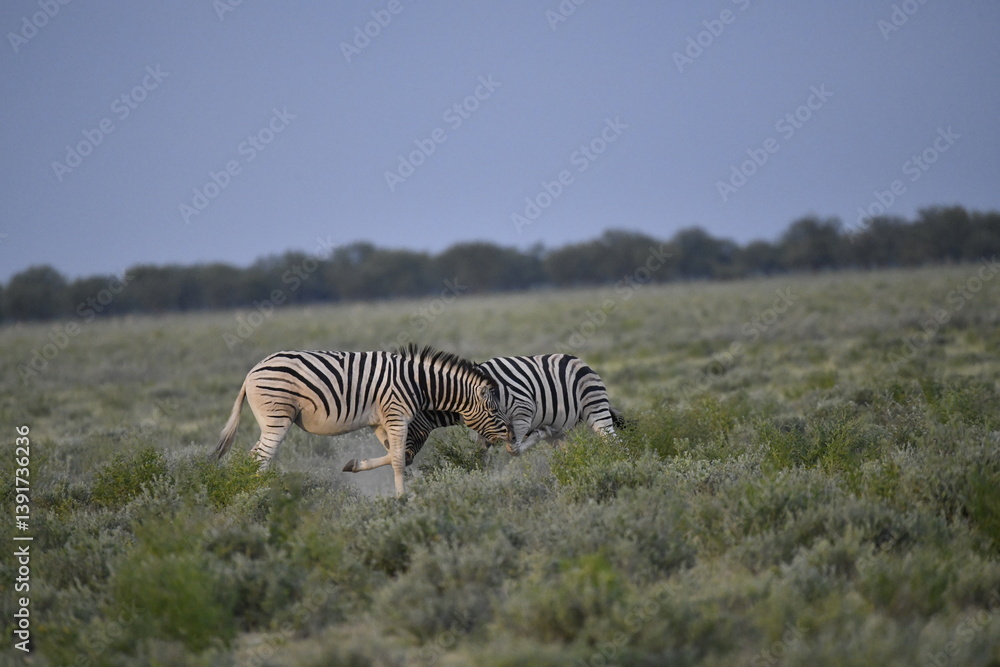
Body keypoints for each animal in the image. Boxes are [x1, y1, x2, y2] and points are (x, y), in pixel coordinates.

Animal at [213, 345, 514, 496]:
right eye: (493, 411)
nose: (512, 436)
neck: (421, 384)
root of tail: (251, 372)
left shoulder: (380, 422)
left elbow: (396, 456)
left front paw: (357, 465)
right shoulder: (397, 416)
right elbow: (398, 458)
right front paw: (403, 498)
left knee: (255, 457)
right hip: (278, 417)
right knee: (261, 457)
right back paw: (258, 496)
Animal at [347, 353, 626, 469]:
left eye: (407, 428)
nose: (403, 460)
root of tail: (580, 361)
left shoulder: (522, 413)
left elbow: (513, 449)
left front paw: (538, 433)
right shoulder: (487, 429)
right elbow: (478, 454)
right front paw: (476, 476)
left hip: (595, 408)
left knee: (613, 442)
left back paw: (618, 465)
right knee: (569, 450)